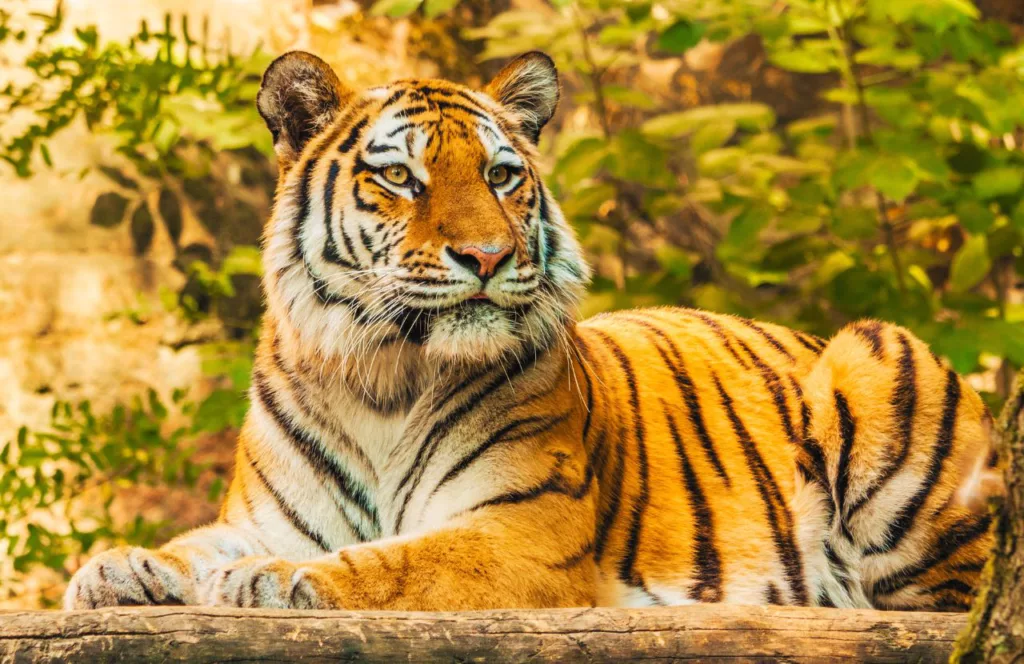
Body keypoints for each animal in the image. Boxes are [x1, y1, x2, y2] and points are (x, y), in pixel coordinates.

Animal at [64, 50, 999, 610]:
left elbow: (398, 559)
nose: (487, 255)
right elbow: (196, 542)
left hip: (875, 358)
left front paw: (271, 581)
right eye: (400, 179)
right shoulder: (270, 512)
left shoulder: (524, 530)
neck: (381, 373)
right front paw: (120, 566)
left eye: (502, 175)